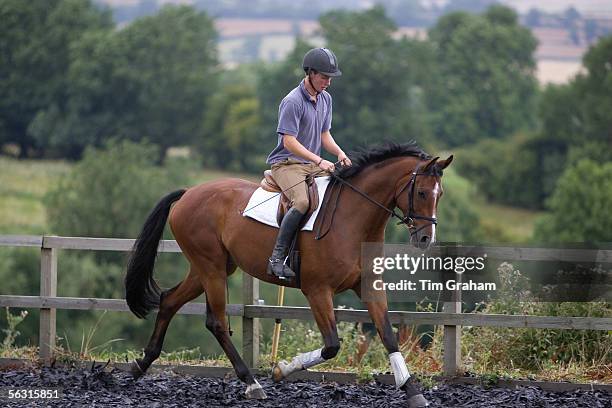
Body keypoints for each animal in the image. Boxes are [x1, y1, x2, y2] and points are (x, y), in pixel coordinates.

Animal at [125, 141, 450, 408]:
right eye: (422, 192)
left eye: (440, 195)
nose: (425, 239)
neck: (352, 219)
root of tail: (188, 193)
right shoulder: (317, 291)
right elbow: (331, 345)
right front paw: (282, 370)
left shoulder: (369, 284)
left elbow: (388, 336)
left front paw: (412, 391)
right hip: (212, 268)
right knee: (216, 322)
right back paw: (252, 383)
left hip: (209, 268)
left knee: (169, 301)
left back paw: (141, 365)